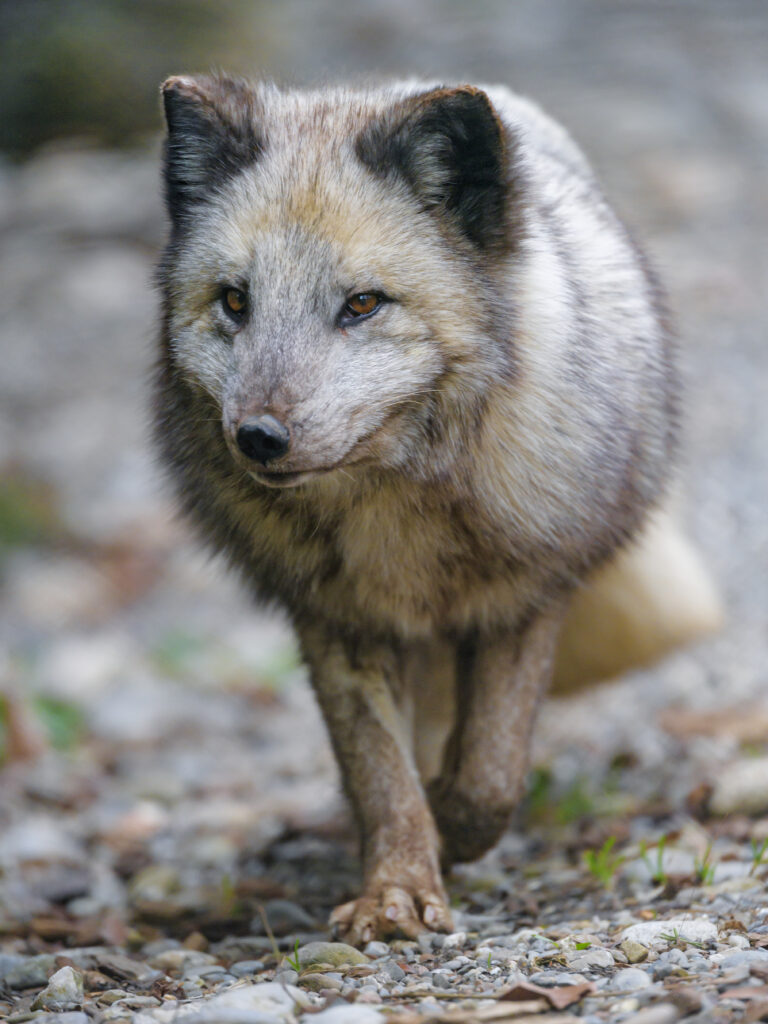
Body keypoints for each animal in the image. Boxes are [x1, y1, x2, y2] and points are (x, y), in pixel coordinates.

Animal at [154, 74, 721, 945]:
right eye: (235, 302)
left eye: (362, 304)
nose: (257, 438)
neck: (394, 513)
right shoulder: (339, 622)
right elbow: (383, 777)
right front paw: (395, 889)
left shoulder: (526, 599)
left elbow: (489, 776)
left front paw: (453, 836)